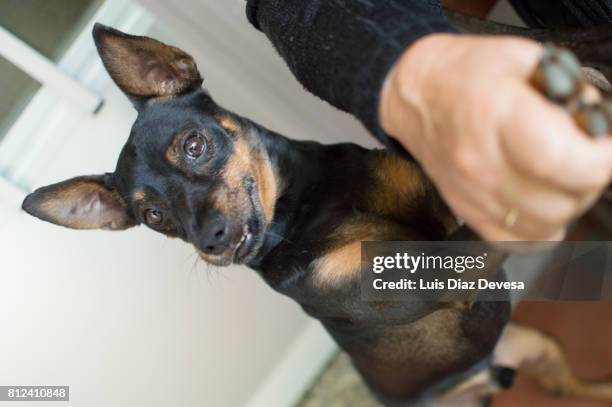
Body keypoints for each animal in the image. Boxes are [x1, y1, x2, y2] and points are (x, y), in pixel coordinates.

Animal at [21, 26, 612, 407]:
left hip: (543, 347)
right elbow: (481, 230)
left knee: (569, 386)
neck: (311, 207)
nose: (209, 239)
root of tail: (486, 375)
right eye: (154, 216)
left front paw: (562, 87)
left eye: (193, 146)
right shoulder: (425, 271)